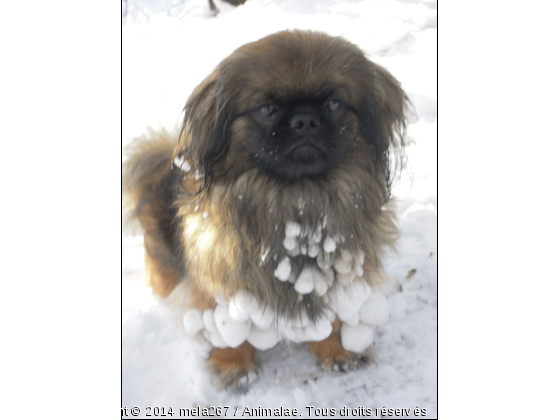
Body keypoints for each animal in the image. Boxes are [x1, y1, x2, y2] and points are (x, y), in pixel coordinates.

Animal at [122, 30, 410, 390]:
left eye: (333, 104)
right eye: (267, 108)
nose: (305, 120)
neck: (296, 202)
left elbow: (331, 320)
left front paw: (337, 351)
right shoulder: (220, 276)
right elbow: (223, 328)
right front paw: (233, 365)